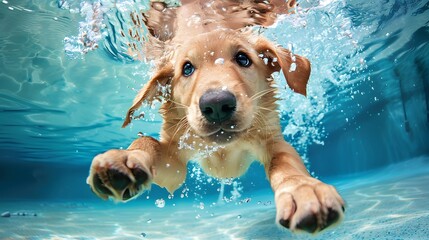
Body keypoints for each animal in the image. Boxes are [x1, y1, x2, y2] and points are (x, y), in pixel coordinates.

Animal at [87, 0, 344, 232]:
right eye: (187, 68)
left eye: (243, 59)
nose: (217, 104)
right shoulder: (174, 163)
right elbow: (147, 142)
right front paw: (125, 159)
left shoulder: (273, 141)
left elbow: (286, 165)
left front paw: (304, 190)